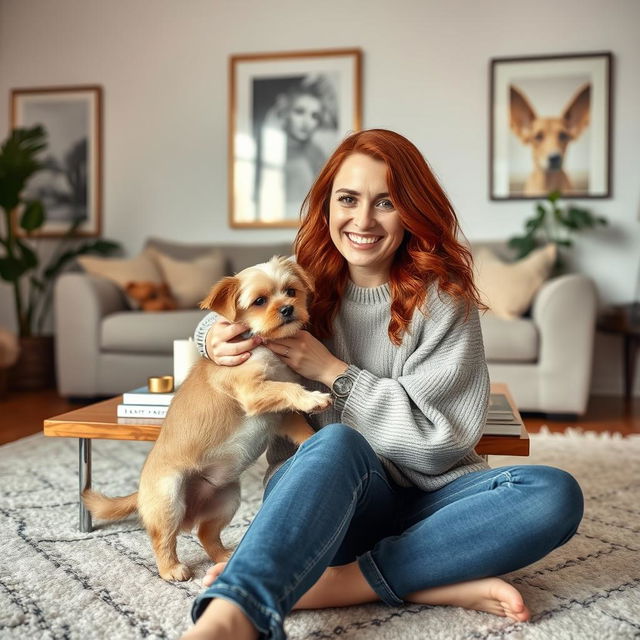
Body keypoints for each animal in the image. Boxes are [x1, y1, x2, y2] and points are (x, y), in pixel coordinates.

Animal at [84, 256, 330, 580]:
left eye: (291, 292)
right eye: (260, 301)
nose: (288, 309)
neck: (266, 347)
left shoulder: (279, 416)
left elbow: (299, 422)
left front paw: (319, 438)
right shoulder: (253, 392)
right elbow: (288, 389)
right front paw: (314, 399)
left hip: (227, 499)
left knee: (205, 534)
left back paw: (223, 556)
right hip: (169, 499)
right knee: (163, 539)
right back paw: (172, 569)